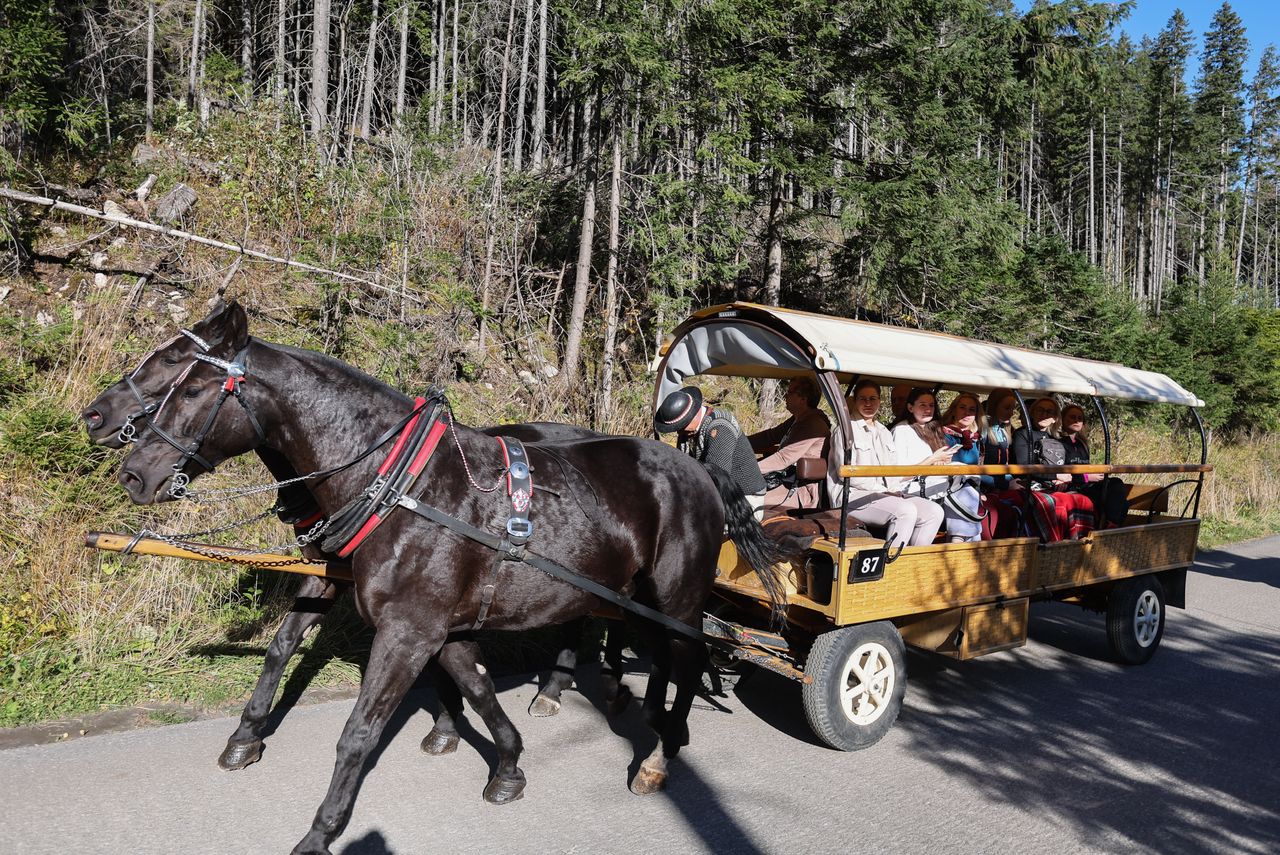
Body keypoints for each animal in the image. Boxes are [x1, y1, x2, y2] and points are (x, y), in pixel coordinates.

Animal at [80, 325, 624, 767]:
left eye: (176, 365)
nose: (94, 416)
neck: (369, 469)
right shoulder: (326, 573)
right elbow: (281, 646)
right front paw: (247, 734)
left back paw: (571, 687)